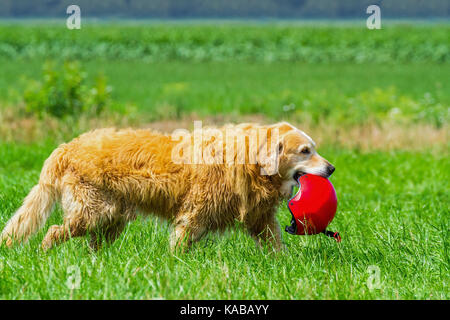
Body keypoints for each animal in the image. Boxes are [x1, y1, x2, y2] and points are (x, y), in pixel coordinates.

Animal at [0, 121, 334, 251]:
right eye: (305, 151)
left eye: (314, 148)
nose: (331, 168)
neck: (251, 163)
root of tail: (67, 147)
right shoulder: (196, 212)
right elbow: (180, 242)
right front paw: (174, 264)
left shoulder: (260, 218)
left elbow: (275, 244)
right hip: (93, 210)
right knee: (55, 231)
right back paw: (45, 254)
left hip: (112, 216)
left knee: (94, 244)